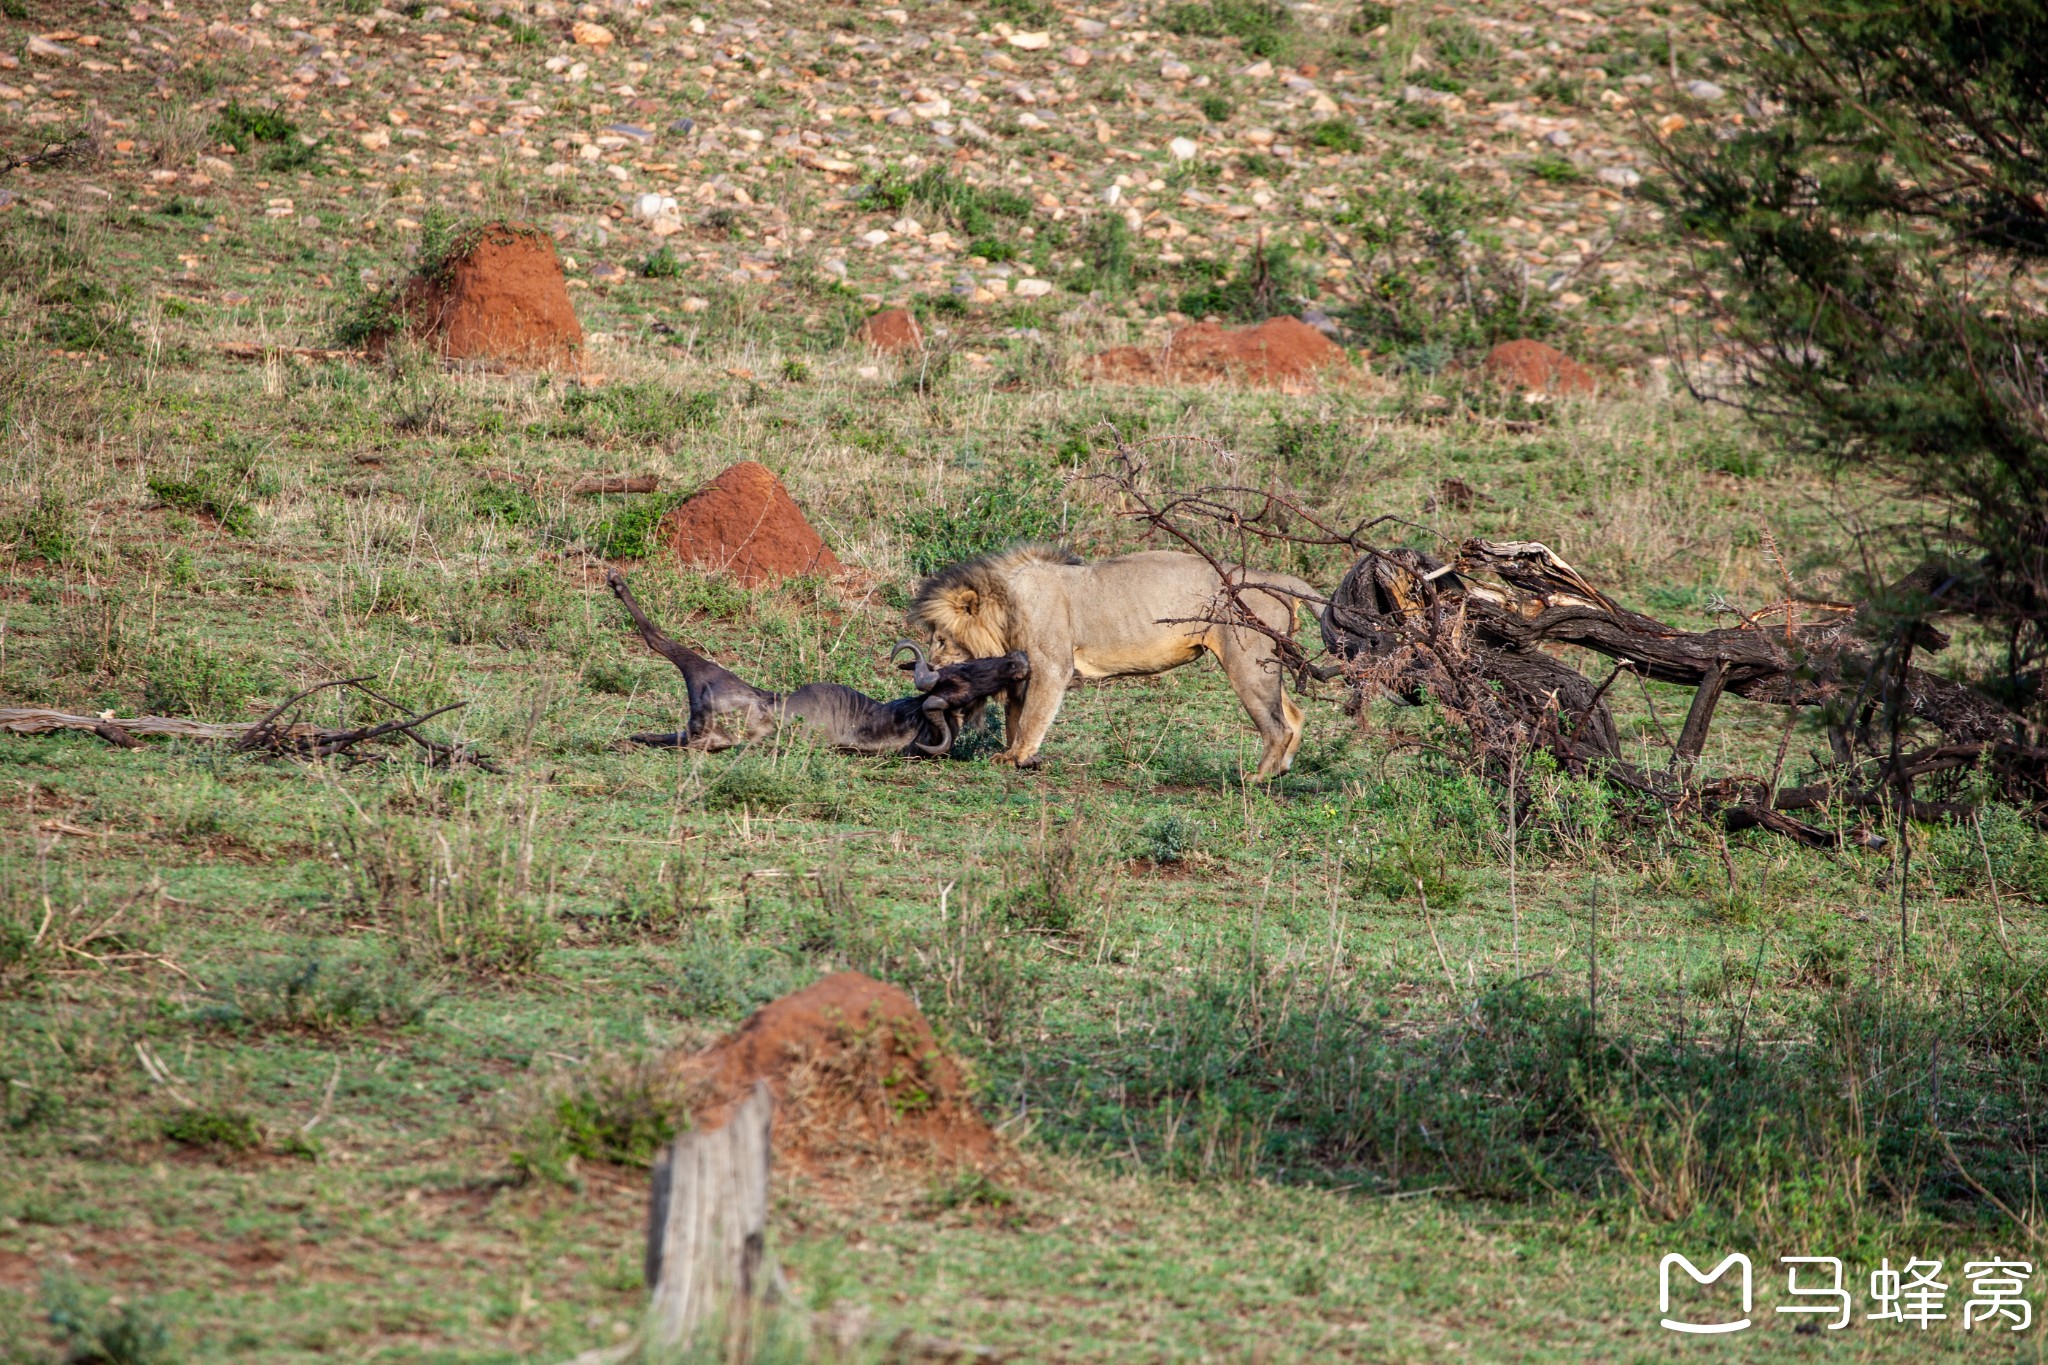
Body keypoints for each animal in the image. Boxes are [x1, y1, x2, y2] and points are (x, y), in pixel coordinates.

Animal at [909, 544, 1310, 777]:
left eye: (942, 639)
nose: (931, 669)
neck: (1006, 607)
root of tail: (1271, 576)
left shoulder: (1050, 665)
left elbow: (1032, 717)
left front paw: (1016, 758)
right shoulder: (1021, 671)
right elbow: (1015, 716)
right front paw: (1018, 755)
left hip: (1245, 661)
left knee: (1277, 726)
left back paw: (1257, 778)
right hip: (1262, 663)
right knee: (1294, 714)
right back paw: (1281, 770)